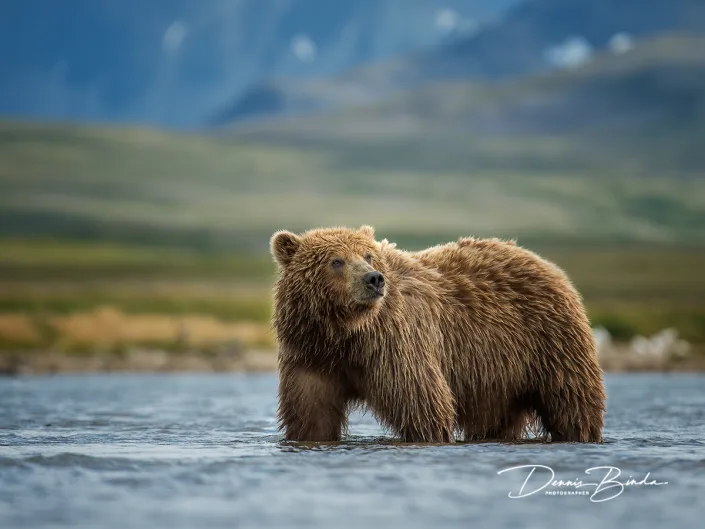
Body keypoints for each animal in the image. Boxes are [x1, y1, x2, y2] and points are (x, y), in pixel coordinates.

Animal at [270, 225, 605, 444]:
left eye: (368, 255)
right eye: (336, 260)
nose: (373, 279)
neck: (346, 333)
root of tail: (544, 262)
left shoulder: (397, 345)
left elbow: (422, 403)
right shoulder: (312, 357)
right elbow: (311, 414)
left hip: (549, 341)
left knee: (571, 400)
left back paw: (579, 433)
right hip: (499, 375)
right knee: (498, 417)